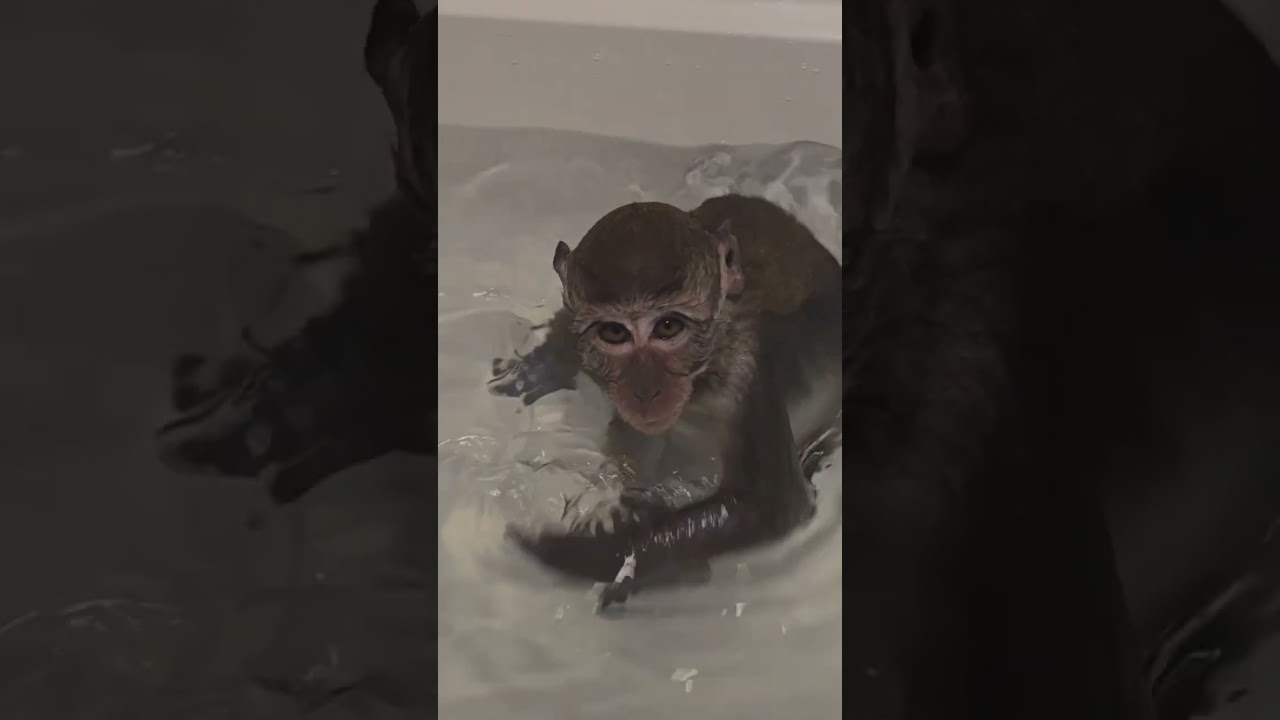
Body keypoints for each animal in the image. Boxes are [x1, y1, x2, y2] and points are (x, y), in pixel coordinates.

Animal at [491, 194, 842, 601]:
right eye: (614, 333)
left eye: (669, 327)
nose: (646, 391)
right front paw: (542, 364)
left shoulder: (748, 375)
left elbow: (772, 506)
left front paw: (591, 552)